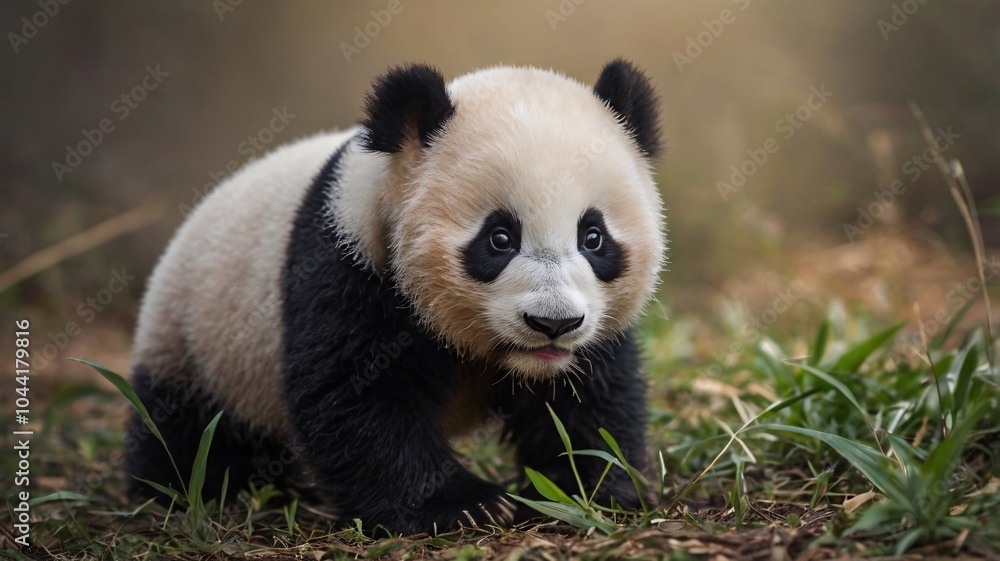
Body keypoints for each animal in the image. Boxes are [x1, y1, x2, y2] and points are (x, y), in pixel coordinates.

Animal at [125, 59, 665, 534]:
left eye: (593, 237)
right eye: (499, 238)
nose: (553, 323)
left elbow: (591, 398)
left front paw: (584, 490)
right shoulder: (348, 263)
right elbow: (356, 399)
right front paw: (464, 506)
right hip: (196, 336)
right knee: (185, 428)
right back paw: (188, 488)